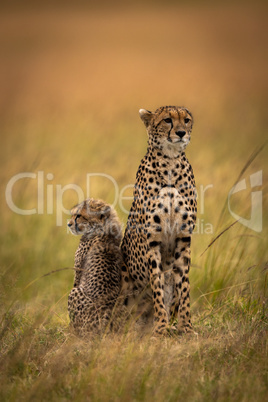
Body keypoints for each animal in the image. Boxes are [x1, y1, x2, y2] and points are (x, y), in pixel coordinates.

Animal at [67, 199, 122, 336]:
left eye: (78, 216)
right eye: (73, 214)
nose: (68, 224)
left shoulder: (78, 275)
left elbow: (76, 281)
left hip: (75, 293)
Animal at [121, 105, 197, 334]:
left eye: (186, 120)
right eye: (167, 120)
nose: (180, 133)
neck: (170, 162)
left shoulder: (183, 238)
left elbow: (183, 287)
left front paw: (186, 326)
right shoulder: (152, 240)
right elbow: (157, 286)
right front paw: (161, 327)